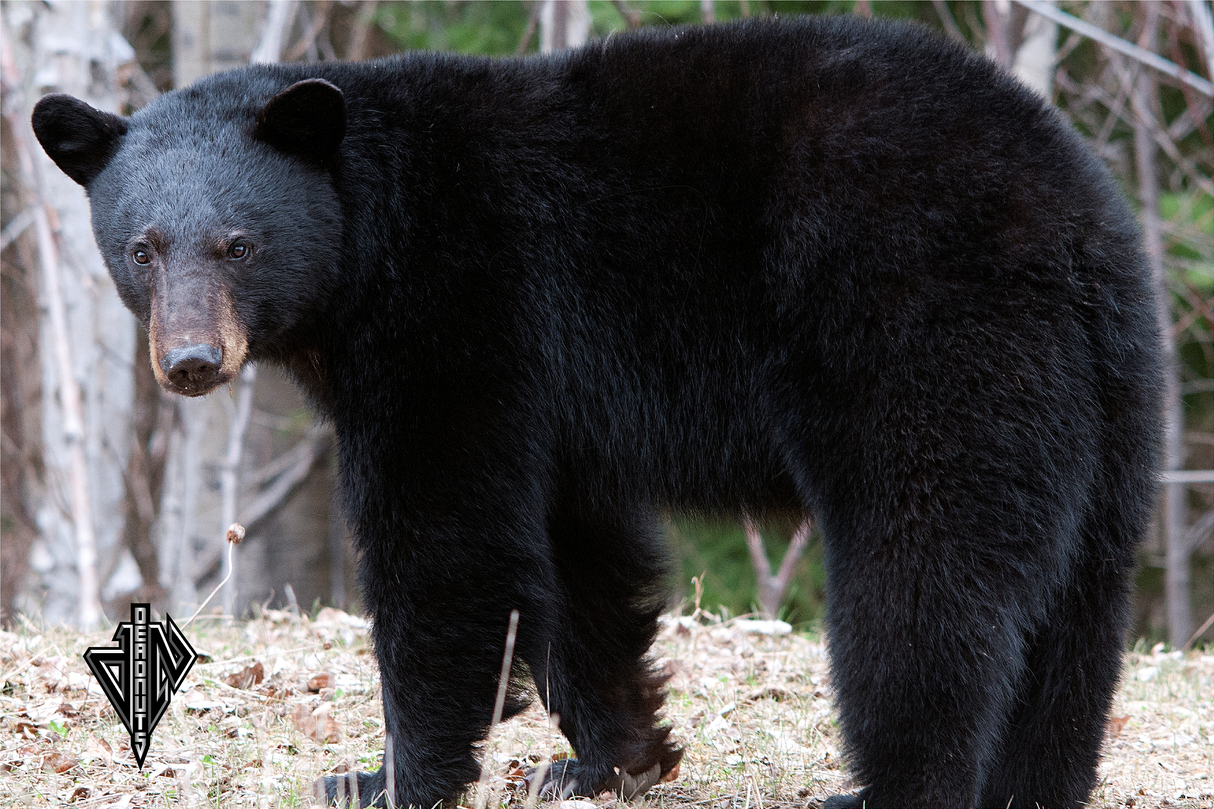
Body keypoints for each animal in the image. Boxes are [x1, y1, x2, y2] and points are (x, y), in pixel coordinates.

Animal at [32, 15, 1161, 809]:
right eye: (141, 248)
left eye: (238, 243)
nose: (190, 361)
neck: (371, 233)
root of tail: (1069, 221)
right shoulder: (556, 394)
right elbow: (578, 559)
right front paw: (605, 760)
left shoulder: (462, 312)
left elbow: (447, 539)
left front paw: (385, 774)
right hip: (1105, 403)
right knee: (1077, 610)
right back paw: (1035, 785)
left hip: (923, 337)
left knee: (922, 581)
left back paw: (888, 783)